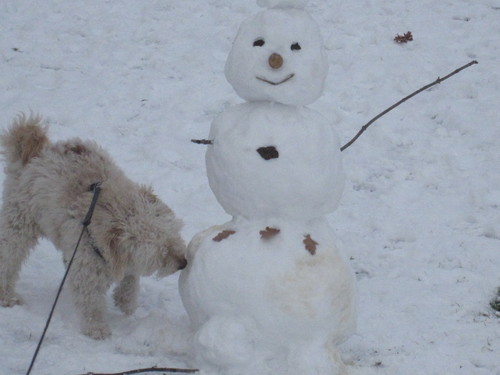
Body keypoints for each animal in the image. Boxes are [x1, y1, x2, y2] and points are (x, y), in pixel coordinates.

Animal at [0, 115, 187, 340]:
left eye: (175, 236)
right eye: (162, 251)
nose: (184, 262)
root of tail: (37, 151)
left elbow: (131, 277)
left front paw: (126, 301)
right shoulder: (86, 265)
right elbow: (91, 302)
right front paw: (96, 328)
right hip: (19, 223)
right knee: (7, 258)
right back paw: (7, 295)